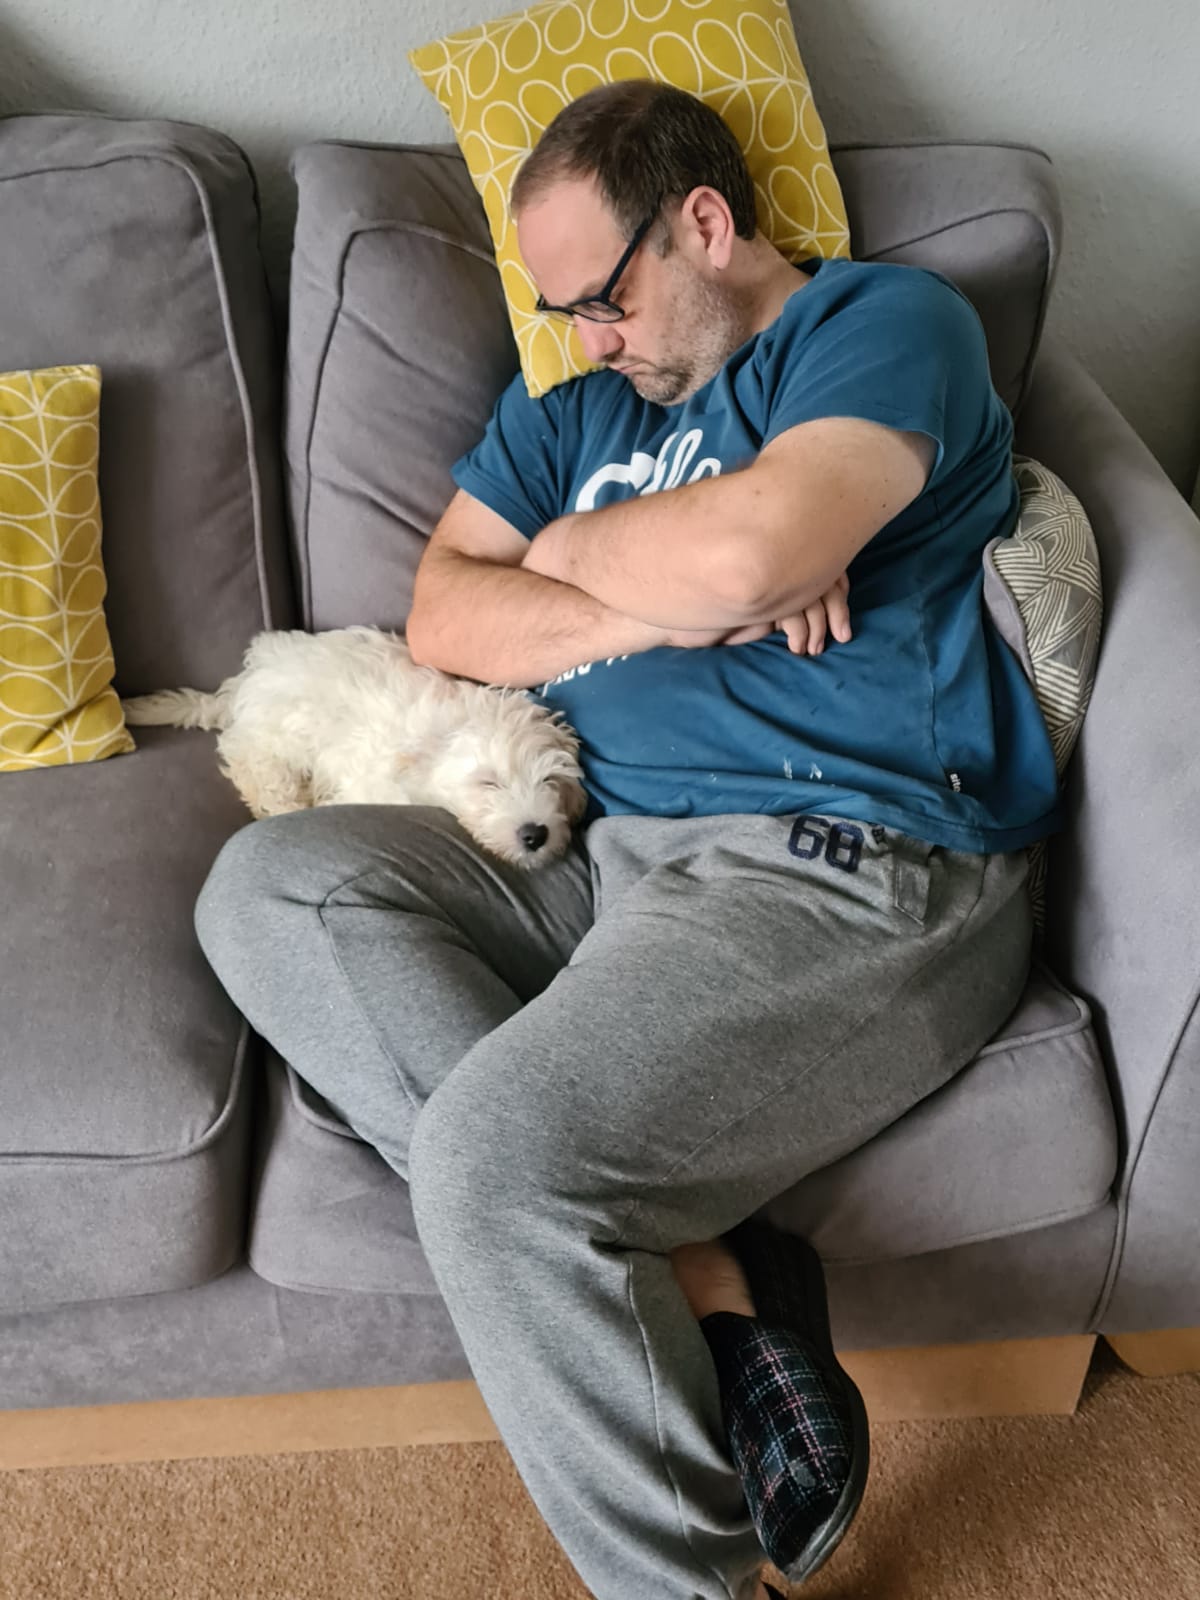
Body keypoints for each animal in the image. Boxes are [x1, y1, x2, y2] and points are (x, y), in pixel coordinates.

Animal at [121, 626, 587, 869]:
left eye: (551, 781)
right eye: (488, 783)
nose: (535, 834)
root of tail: (245, 683)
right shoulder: (370, 783)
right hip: (279, 735)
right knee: (252, 764)